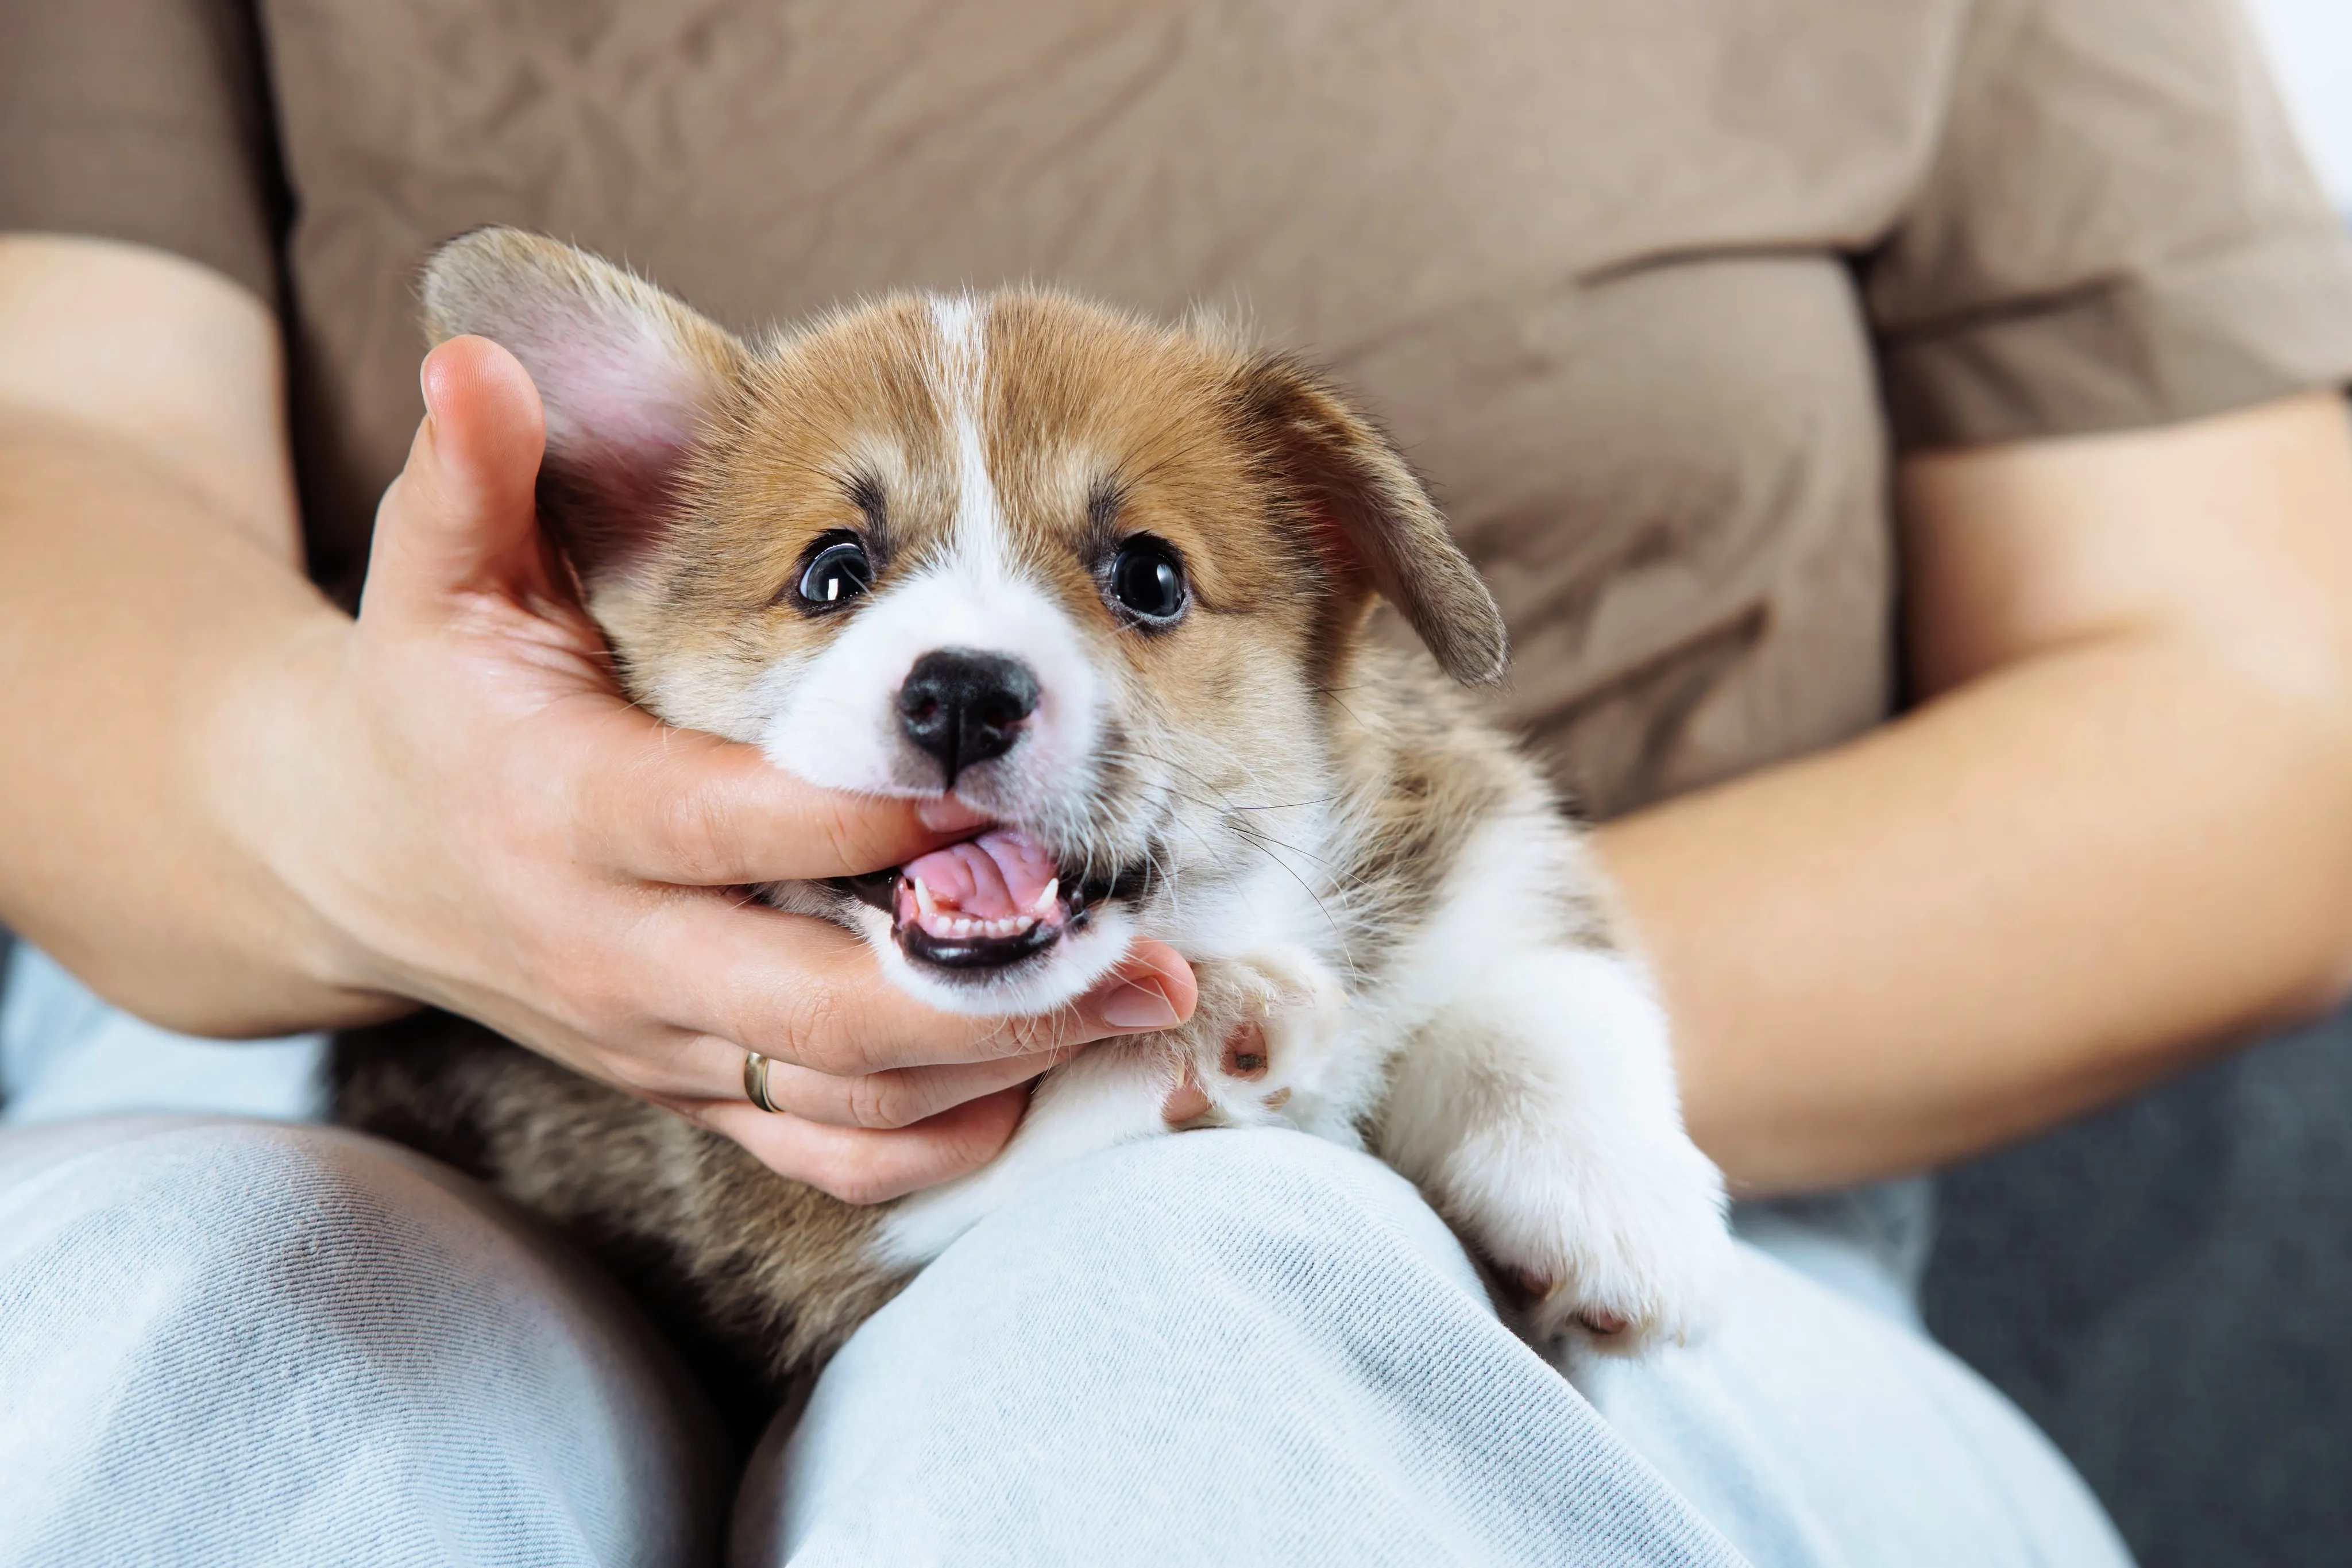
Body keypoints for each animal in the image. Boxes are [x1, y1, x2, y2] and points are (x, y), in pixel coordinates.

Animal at [336, 226, 1731, 1420]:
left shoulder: (1481, 847)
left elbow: (1541, 995)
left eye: (1151, 578)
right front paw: (1204, 1034)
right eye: (831, 574)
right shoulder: (813, 1236)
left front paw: (1616, 1208)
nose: (961, 692)